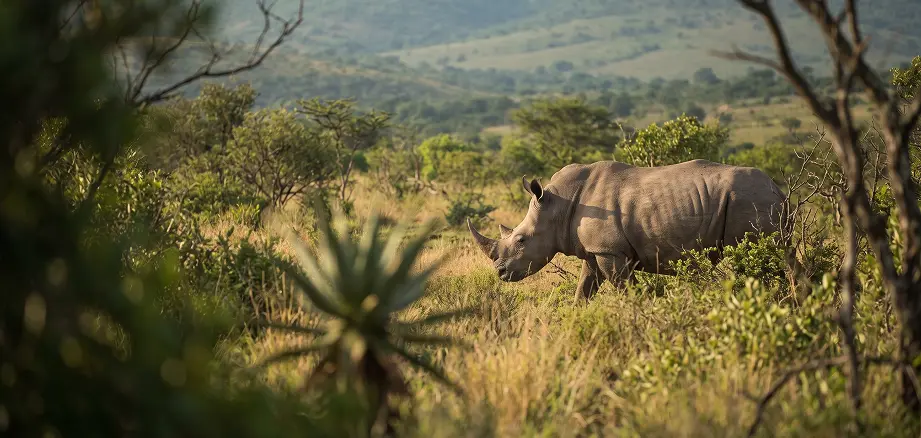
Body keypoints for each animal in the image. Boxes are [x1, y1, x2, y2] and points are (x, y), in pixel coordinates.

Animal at [467, 159, 787, 300]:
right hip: (755, 200)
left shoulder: (610, 251)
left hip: (749, 199)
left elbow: (627, 289)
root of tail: (778, 189)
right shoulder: (595, 251)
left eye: (521, 240)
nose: (500, 273)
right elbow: (584, 289)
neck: (557, 206)